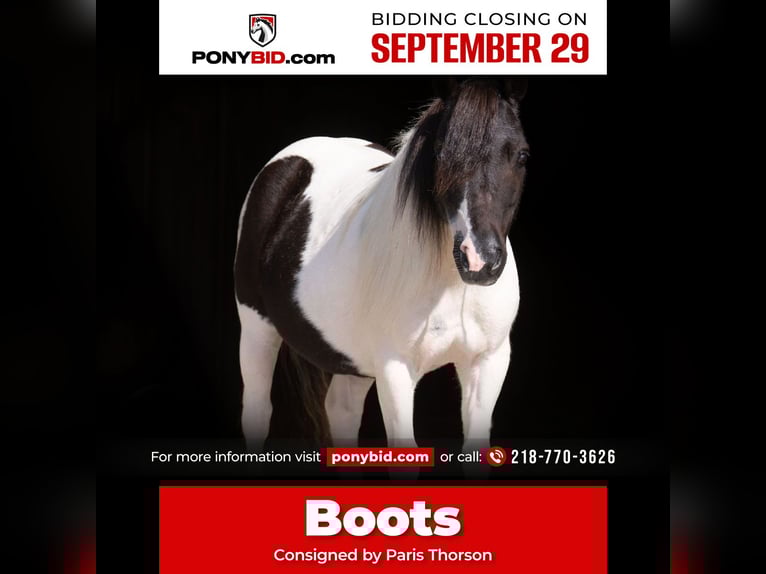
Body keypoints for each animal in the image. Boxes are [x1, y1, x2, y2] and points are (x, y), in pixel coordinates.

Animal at [234, 78, 529, 455]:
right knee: (258, 410)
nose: (479, 259)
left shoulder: (487, 363)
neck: (450, 285)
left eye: (521, 155)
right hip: (256, 329)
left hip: (352, 360)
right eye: (441, 154)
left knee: (340, 411)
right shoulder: (394, 370)